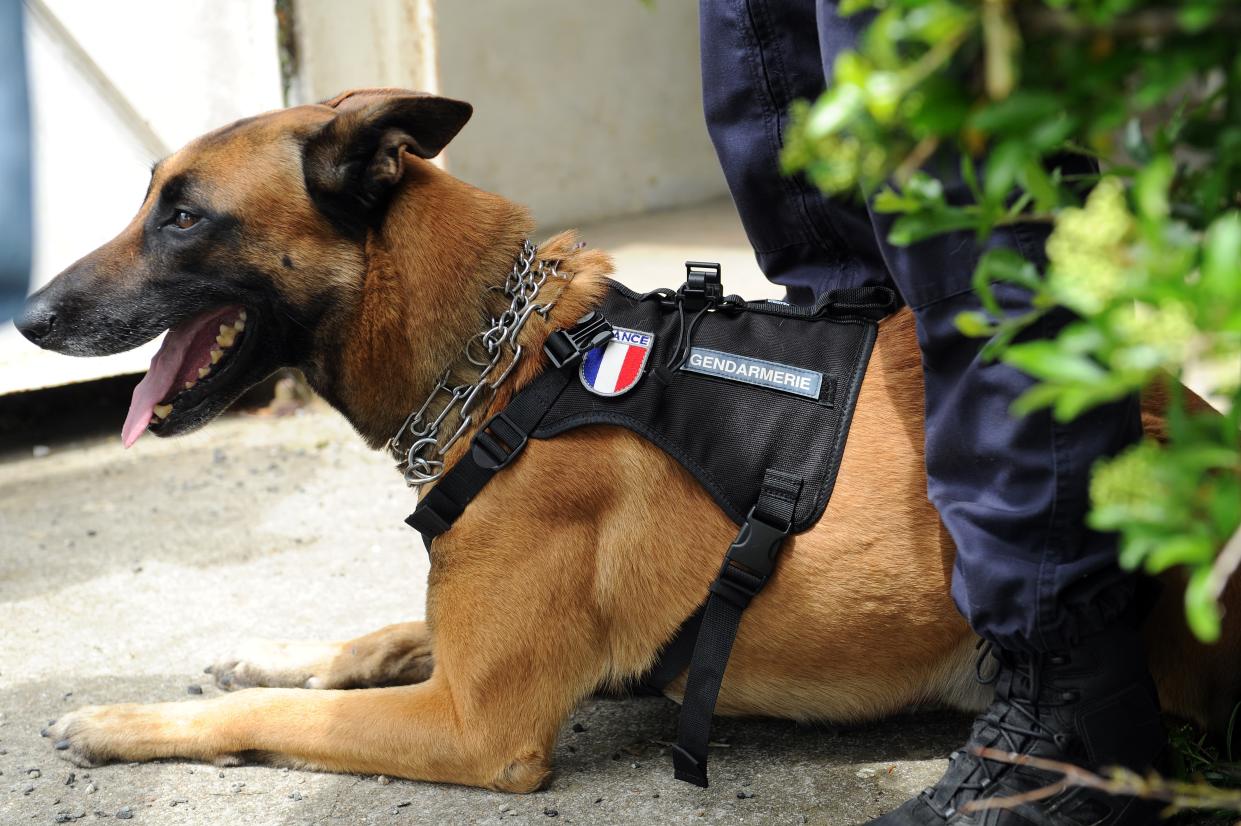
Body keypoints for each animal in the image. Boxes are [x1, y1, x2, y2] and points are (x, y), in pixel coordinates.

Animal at [12, 86, 1241, 788]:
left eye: (183, 216)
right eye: (150, 199)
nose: (26, 318)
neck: (507, 366)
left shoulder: (477, 723)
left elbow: (275, 713)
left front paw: (122, 720)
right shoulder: (461, 651)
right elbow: (376, 634)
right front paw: (265, 649)